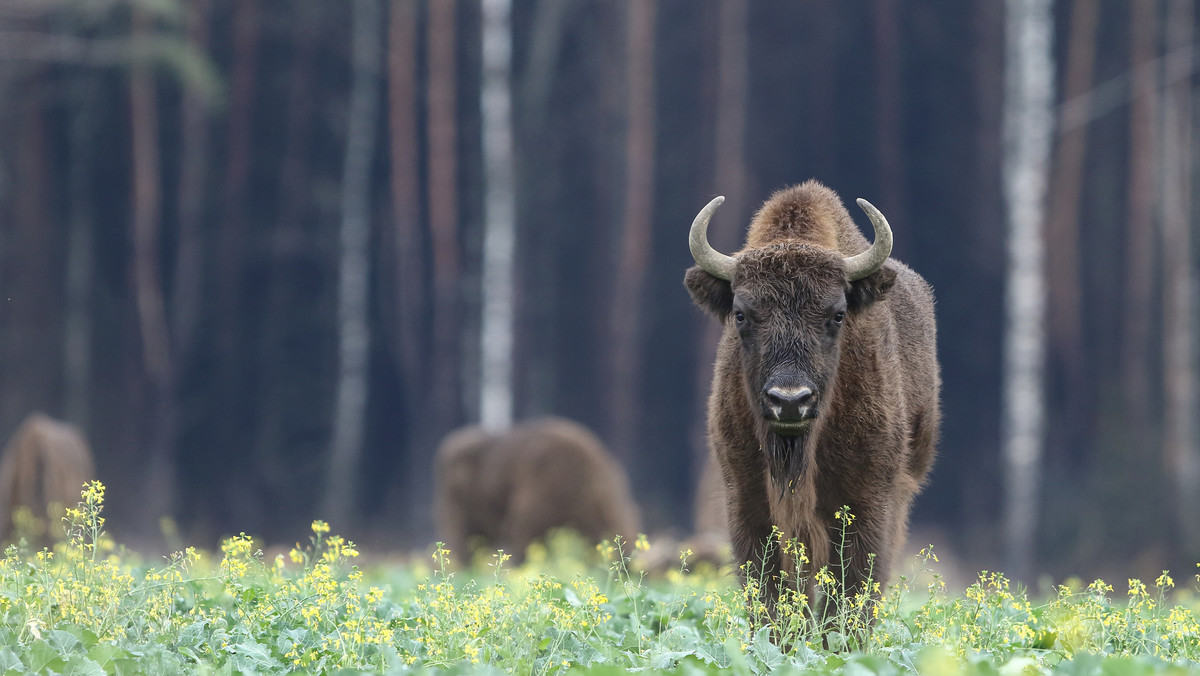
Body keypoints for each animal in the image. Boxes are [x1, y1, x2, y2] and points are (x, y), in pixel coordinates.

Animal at [686, 178, 936, 614]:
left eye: (836, 315)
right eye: (741, 314)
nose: (789, 401)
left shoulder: (867, 503)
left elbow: (853, 590)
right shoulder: (747, 502)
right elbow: (770, 592)